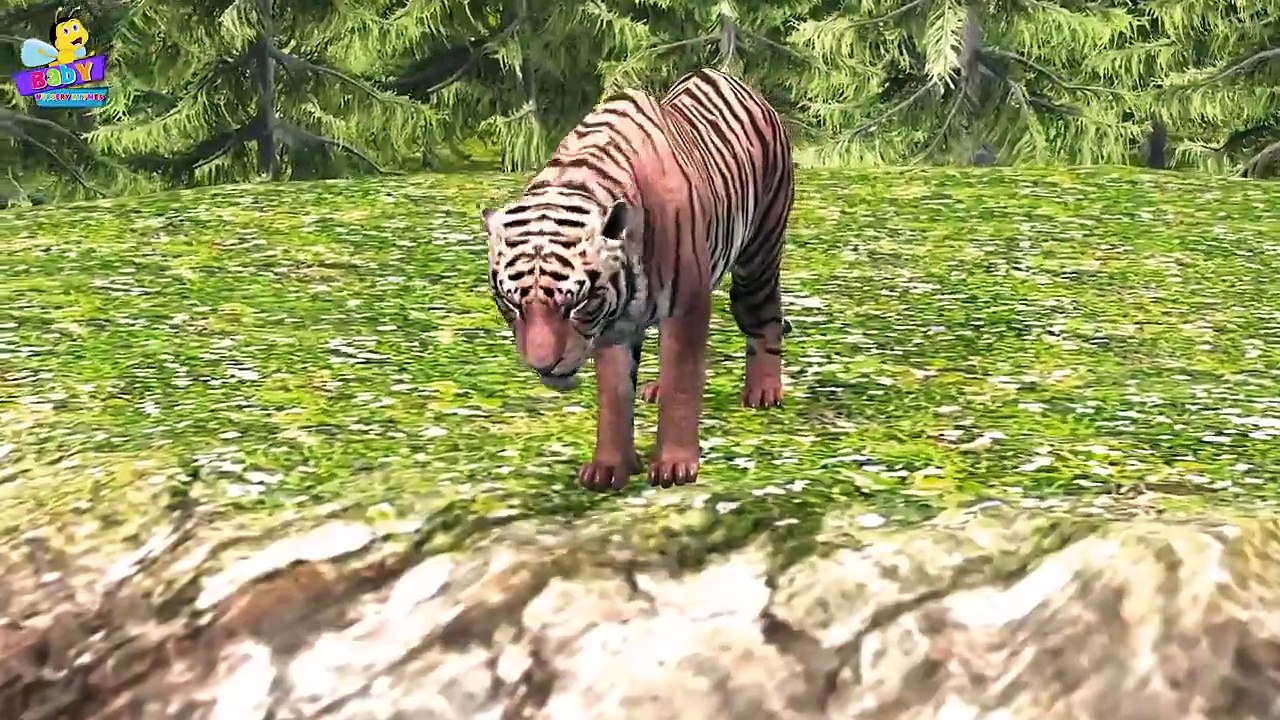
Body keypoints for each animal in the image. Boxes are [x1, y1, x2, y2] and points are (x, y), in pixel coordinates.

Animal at [481, 67, 795, 492]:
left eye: (575, 304)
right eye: (512, 303)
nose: (544, 367)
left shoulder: (685, 307)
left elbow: (683, 381)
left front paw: (675, 466)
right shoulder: (613, 324)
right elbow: (615, 393)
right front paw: (609, 467)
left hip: (758, 254)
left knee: (764, 317)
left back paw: (764, 391)